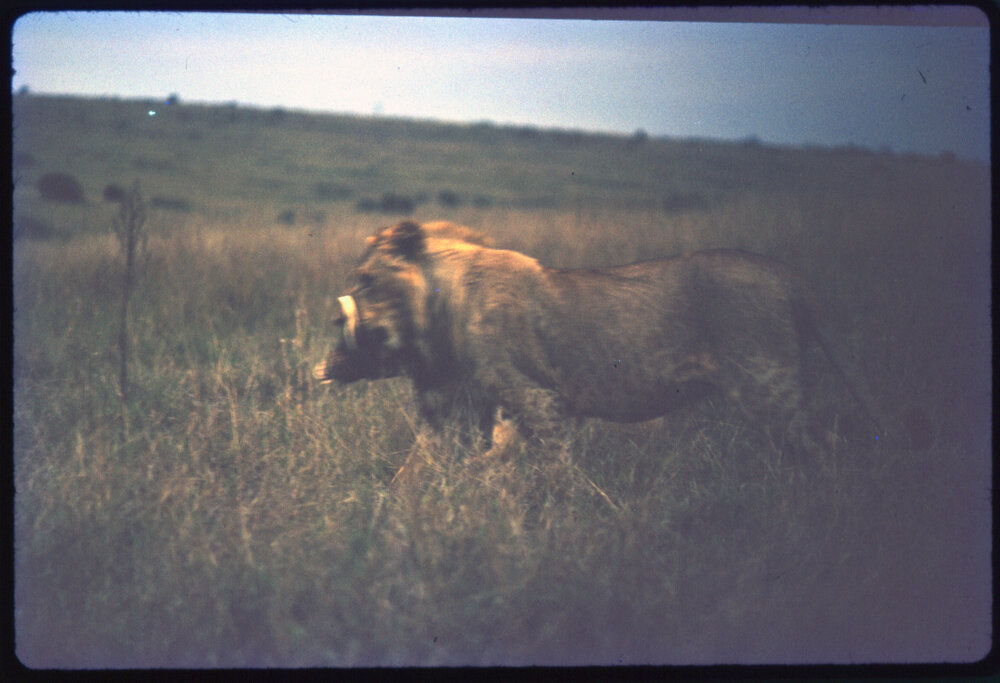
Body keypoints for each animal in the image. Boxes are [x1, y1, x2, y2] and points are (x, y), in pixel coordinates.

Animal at [314, 220, 888, 485]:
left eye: (367, 279)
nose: (336, 323)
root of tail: (789, 275)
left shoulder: (541, 400)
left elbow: (555, 473)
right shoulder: (460, 411)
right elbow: (415, 474)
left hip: (769, 387)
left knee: (822, 451)